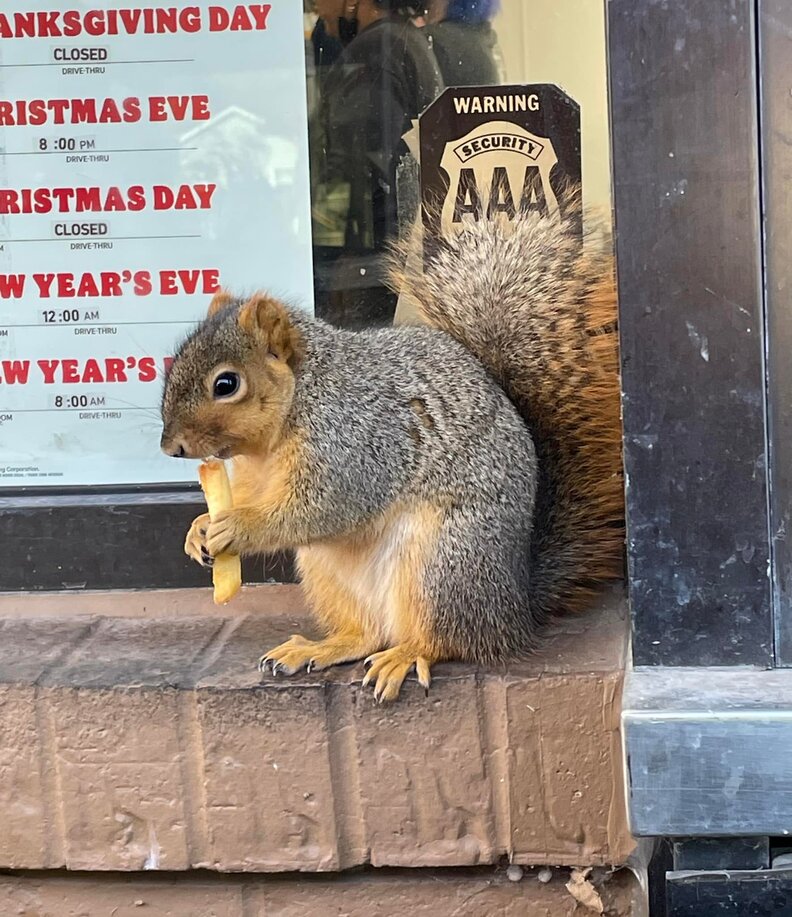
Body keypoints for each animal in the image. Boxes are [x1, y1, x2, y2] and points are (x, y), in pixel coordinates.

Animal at [161, 197, 620, 700]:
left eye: (226, 384)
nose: (170, 446)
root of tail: (513, 605)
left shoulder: (357, 444)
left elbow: (319, 509)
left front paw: (237, 527)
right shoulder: (253, 474)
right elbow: (251, 499)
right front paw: (199, 528)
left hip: (444, 564)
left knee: (447, 640)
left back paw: (406, 655)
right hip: (326, 574)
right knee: (366, 634)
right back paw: (318, 648)